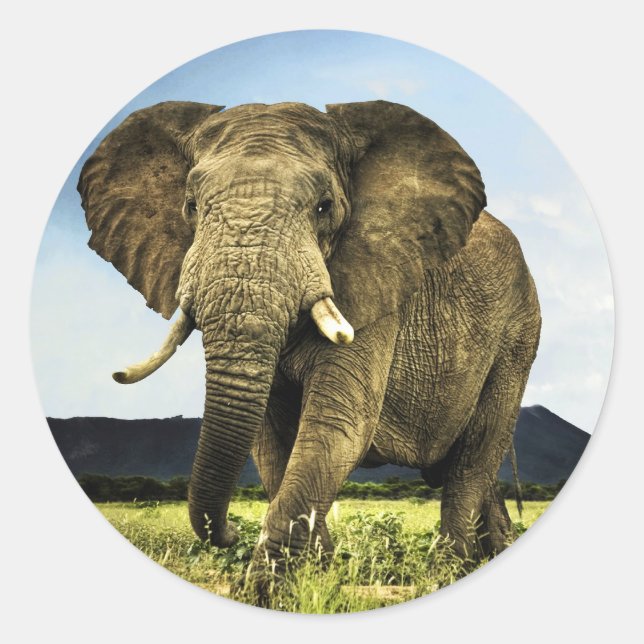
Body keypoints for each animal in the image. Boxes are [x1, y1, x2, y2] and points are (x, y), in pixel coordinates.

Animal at [78, 100, 541, 578]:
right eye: (190, 206)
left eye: (324, 207)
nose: (229, 533)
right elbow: (271, 443)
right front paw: (318, 573)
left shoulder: (376, 286)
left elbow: (337, 424)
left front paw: (269, 586)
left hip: (517, 334)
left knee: (474, 457)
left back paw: (447, 569)